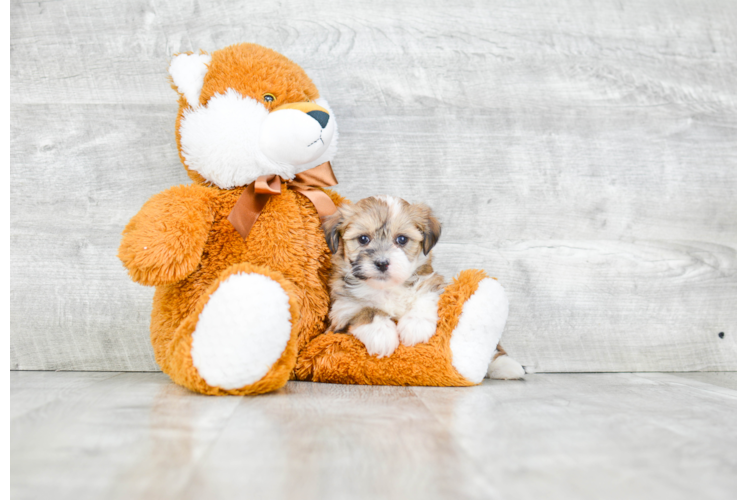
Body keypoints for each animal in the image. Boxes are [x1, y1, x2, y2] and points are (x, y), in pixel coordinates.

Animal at [322, 194, 444, 356]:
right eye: (363, 239)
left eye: (402, 239)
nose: (381, 263)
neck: (386, 288)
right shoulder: (342, 308)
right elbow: (365, 310)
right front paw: (381, 333)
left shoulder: (430, 279)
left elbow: (424, 295)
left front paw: (416, 323)